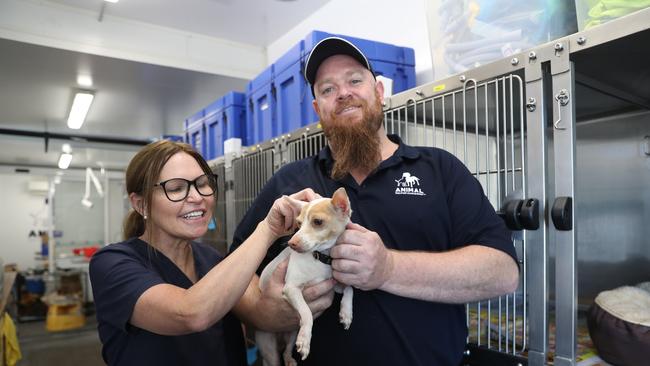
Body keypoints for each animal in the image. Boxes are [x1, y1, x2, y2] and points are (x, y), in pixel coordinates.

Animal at [254, 187, 354, 364]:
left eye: (318, 222)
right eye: (299, 224)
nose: (291, 243)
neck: (319, 258)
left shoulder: (333, 284)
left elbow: (349, 288)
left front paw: (346, 313)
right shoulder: (291, 289)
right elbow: (307, 312)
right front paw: (306, 339)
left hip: (292, 334)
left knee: (287, 351)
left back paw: (289, 360)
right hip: (268, 346)